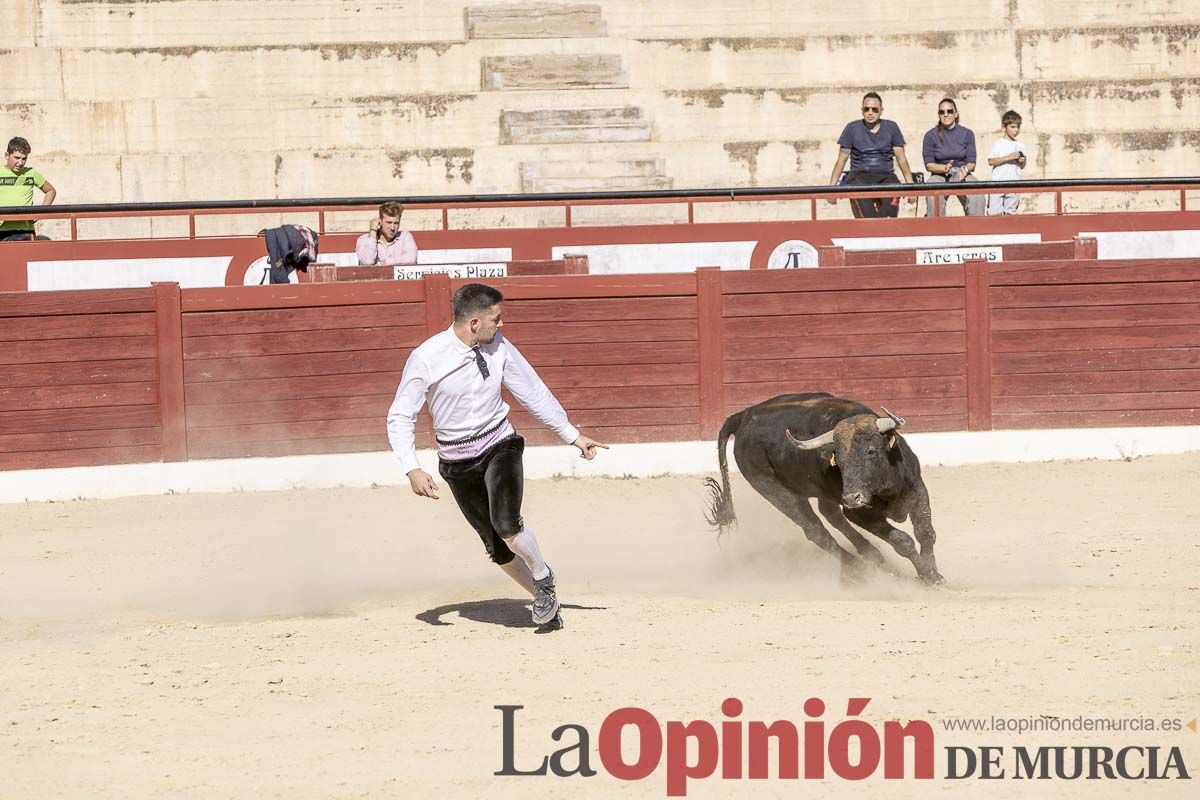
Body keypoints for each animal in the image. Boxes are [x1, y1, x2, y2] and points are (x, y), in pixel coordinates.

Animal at [700, 393, 945, 585]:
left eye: (871, 451)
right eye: (839, 460)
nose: (852, 498)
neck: (884, 485)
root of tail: (743, 415)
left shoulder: (917, 490)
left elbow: (926, 533)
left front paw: (933, 573)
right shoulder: (859, 514)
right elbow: (902, 540)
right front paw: (928, 576)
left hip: (822, 491)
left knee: (830, 514)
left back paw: (872, 556)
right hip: (774, 490)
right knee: (815, 530)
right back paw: (857, 568)